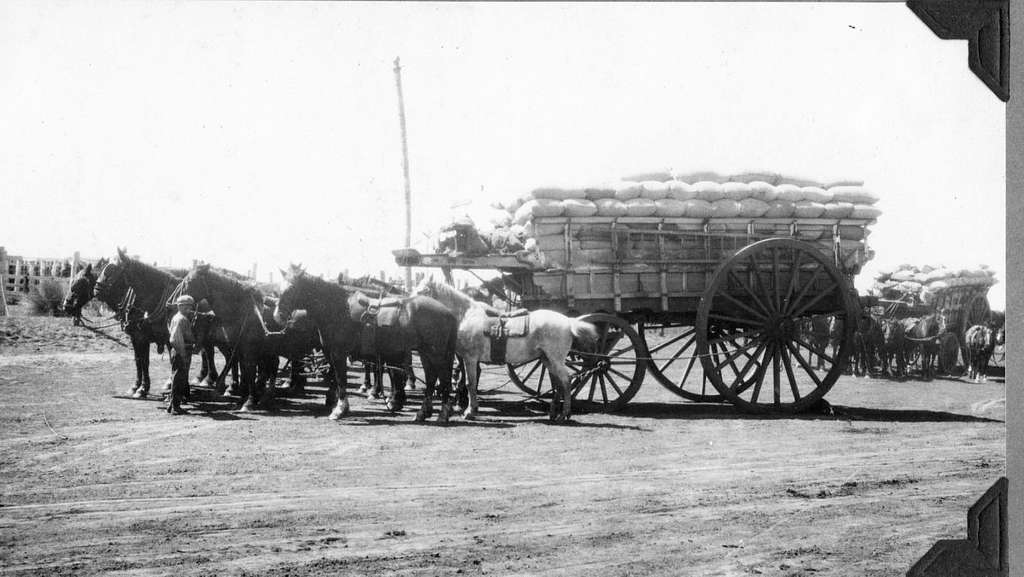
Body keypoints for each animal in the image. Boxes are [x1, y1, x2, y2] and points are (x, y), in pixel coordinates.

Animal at [272, 264, 456, 422]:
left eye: (291, 289)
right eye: (278, 289)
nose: (277, 316)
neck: (338, 309)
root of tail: (448, 311)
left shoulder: (338, 353)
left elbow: (341, 379)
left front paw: (340, 409)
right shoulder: (331, 354)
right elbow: (336, 379)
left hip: (436, 353)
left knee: (444, 378)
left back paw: (443, 414)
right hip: (425, 353)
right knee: (431, 378)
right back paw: (423, 412)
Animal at [411, 276, 598, 422]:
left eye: (422, 291)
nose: (409, 304)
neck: (466, 315)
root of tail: (568, 321)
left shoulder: (470, 358)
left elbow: (470, 383)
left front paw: (470, 412)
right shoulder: (467, 359)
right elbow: (469, 382)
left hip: (555, 359)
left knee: (565, 382)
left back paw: (564, 414)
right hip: (547, 359)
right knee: (558, 383)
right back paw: (554, 413)